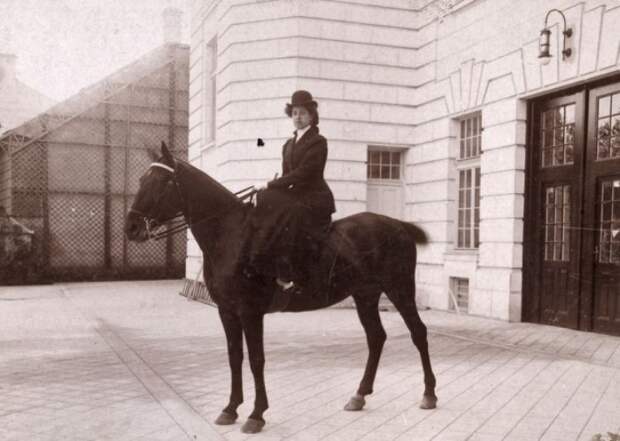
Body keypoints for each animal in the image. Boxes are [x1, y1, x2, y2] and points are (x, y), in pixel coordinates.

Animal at [124, 142, 436, 434]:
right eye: (141, 180)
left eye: (162, 182)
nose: (131, 227)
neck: (231, 236)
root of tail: (398, 225)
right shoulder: (227, 311)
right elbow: (234, 357)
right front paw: (230, 409)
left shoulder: (250, 312)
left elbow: (256, 359)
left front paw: (256, 415)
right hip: (365, 295)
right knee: (376, 338)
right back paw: (359, 395)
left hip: (400, 289)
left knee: (418, 332)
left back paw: (429, 394)